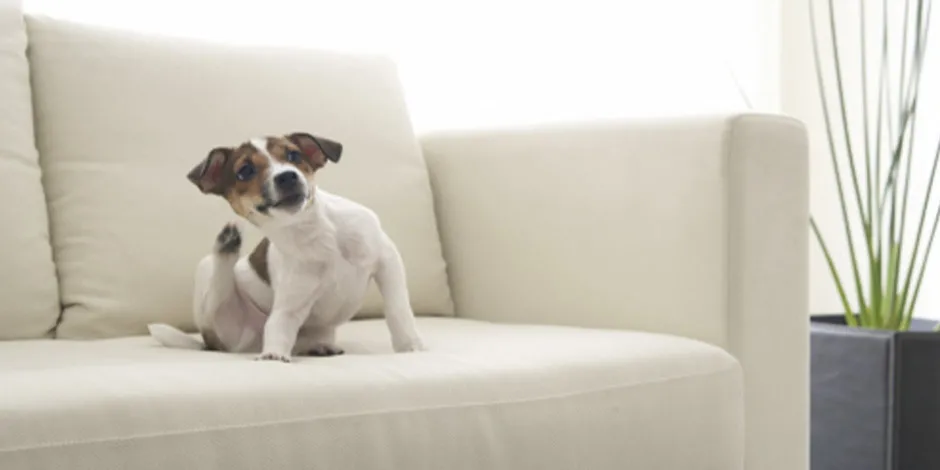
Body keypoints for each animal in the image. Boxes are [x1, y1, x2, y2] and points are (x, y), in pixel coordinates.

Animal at [150, 132, 426, 364]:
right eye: (245, 171)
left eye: (294, 156)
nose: (287, 176)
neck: (315, 233)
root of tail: (209, 344)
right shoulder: (292, 304)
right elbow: (279, 325)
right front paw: (273, 355)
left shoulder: (387, 262)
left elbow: (398, 309)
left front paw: (409, 344)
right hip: (214, 289)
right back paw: (226, 243)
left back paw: (319, 346)